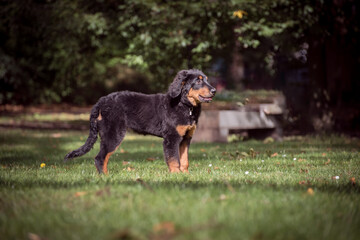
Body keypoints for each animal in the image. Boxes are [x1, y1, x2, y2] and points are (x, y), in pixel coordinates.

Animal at [64, 68, 217, 173]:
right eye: (198, 81)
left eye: (206, 79)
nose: (214, 90)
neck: (185, 105)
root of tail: (101, 101)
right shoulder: (172, 138)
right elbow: (174, 159)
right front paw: (176, 175)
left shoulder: (186, 138)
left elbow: (184, 160)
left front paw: (185, 175)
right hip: (113, 134)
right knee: (100, 158)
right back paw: (106, 178)